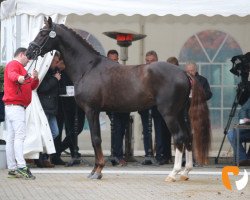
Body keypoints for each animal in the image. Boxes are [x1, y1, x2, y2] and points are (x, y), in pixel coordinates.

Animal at [26, 18, 211, 182]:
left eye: (43, 33)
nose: (29, 52)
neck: (88, 67)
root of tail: (184, 73)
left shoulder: (91, 110)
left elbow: (95, 139)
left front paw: (97, 171)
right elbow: (96, 139)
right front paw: (95, 170)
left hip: (169, 114)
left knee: (179, 137)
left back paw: (173, 173)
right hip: (180, 113)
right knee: (188, 136)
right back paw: (185, 172)